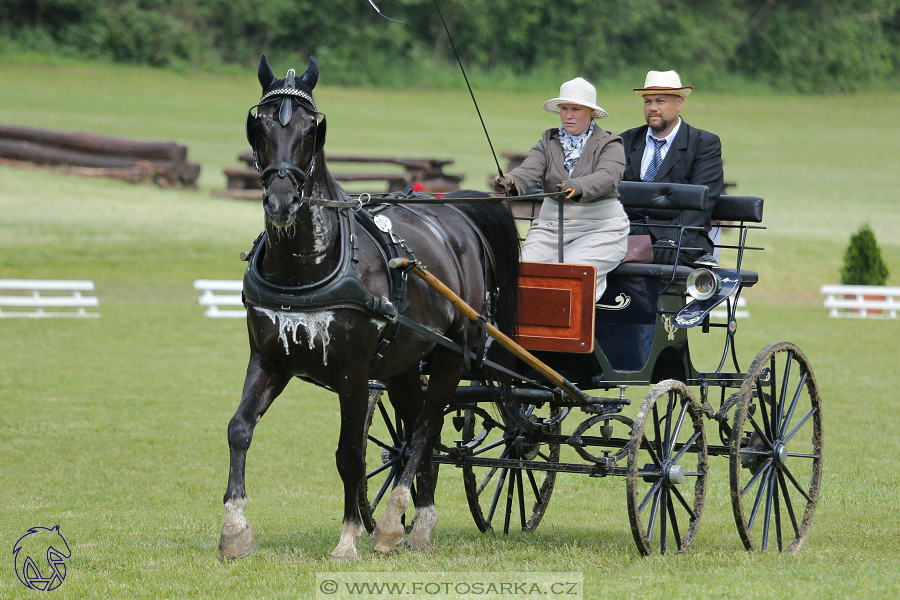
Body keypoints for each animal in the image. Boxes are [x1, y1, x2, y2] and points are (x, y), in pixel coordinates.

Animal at [219, 55, 524, 556]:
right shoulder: (268, 358)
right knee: (419, 430)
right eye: (258, 124)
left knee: (425, 428)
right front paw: (234, 528)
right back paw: (413, 521)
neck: (304, 267)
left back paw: (397, 521)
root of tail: (456, 213)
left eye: (312, 129)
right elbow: (239, 428)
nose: (281, 201)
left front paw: (347, 538)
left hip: (449, 357)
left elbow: (349, 454)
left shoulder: (354, 372)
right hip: (403, 364)